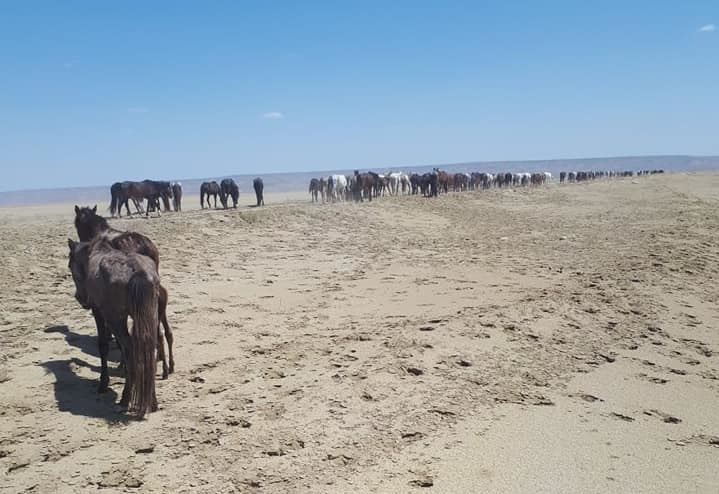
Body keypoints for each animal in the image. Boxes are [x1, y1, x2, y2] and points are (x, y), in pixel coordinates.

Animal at [67, 236, 160, 416]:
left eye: (70, 265)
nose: (80, 298)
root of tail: (137, 271)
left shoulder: (98, 311)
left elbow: (103, 345)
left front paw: (103, 383)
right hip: (148, 316)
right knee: (147, 347)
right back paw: (151, 401)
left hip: (116, 319)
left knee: (131, 349)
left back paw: (125, 398)